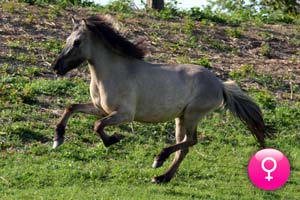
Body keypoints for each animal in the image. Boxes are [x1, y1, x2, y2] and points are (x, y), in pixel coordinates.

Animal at [52, 14, 272, 184]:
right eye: (67, 39)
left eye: (77, 42)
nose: (56, 67)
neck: (114, 72)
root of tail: (219, 84)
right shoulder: (101, 109)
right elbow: (72, 107)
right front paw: (58, 139)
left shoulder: (124, 115)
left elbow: (97, 125)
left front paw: (113, 140)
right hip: (180, 118)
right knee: (184, 147)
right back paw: (162, 177)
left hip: (192, 115)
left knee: (190, 141)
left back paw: (159, 159)